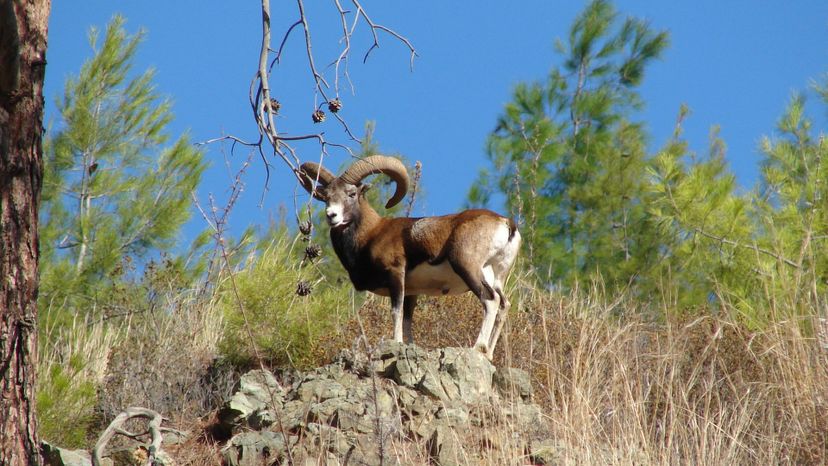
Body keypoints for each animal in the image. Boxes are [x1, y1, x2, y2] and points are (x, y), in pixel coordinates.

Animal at [298, 155, 516, 358]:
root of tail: (506, 224)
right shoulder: (412, 292)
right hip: (495, 276)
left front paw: (396, 343)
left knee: (490, 300)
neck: (370, 235)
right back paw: (488, 354)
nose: (331, 215)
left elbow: (396, 312)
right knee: (504, 305)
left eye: (351, 194)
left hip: (467, 267)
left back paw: (478, 348)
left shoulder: (396, 276)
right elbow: (407, 320)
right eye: (326, 197)